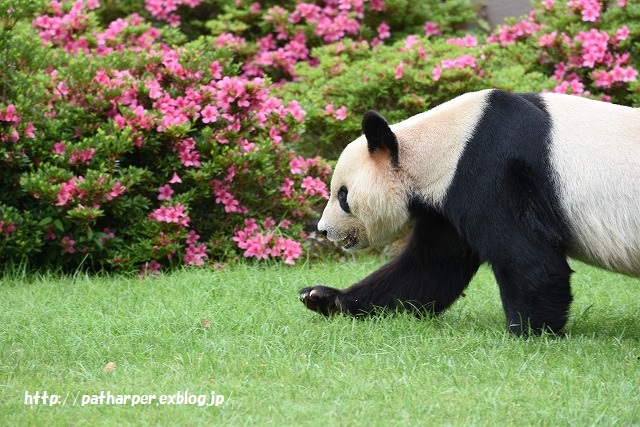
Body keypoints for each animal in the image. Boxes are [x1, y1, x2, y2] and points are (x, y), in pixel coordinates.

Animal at [298, 89, 640, 338]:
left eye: (343, 195)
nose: (325, 229)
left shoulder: (493, 173)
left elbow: (529, 260)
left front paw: (530, 331)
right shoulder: (447, 203)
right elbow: (430, 267)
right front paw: (322, 297)